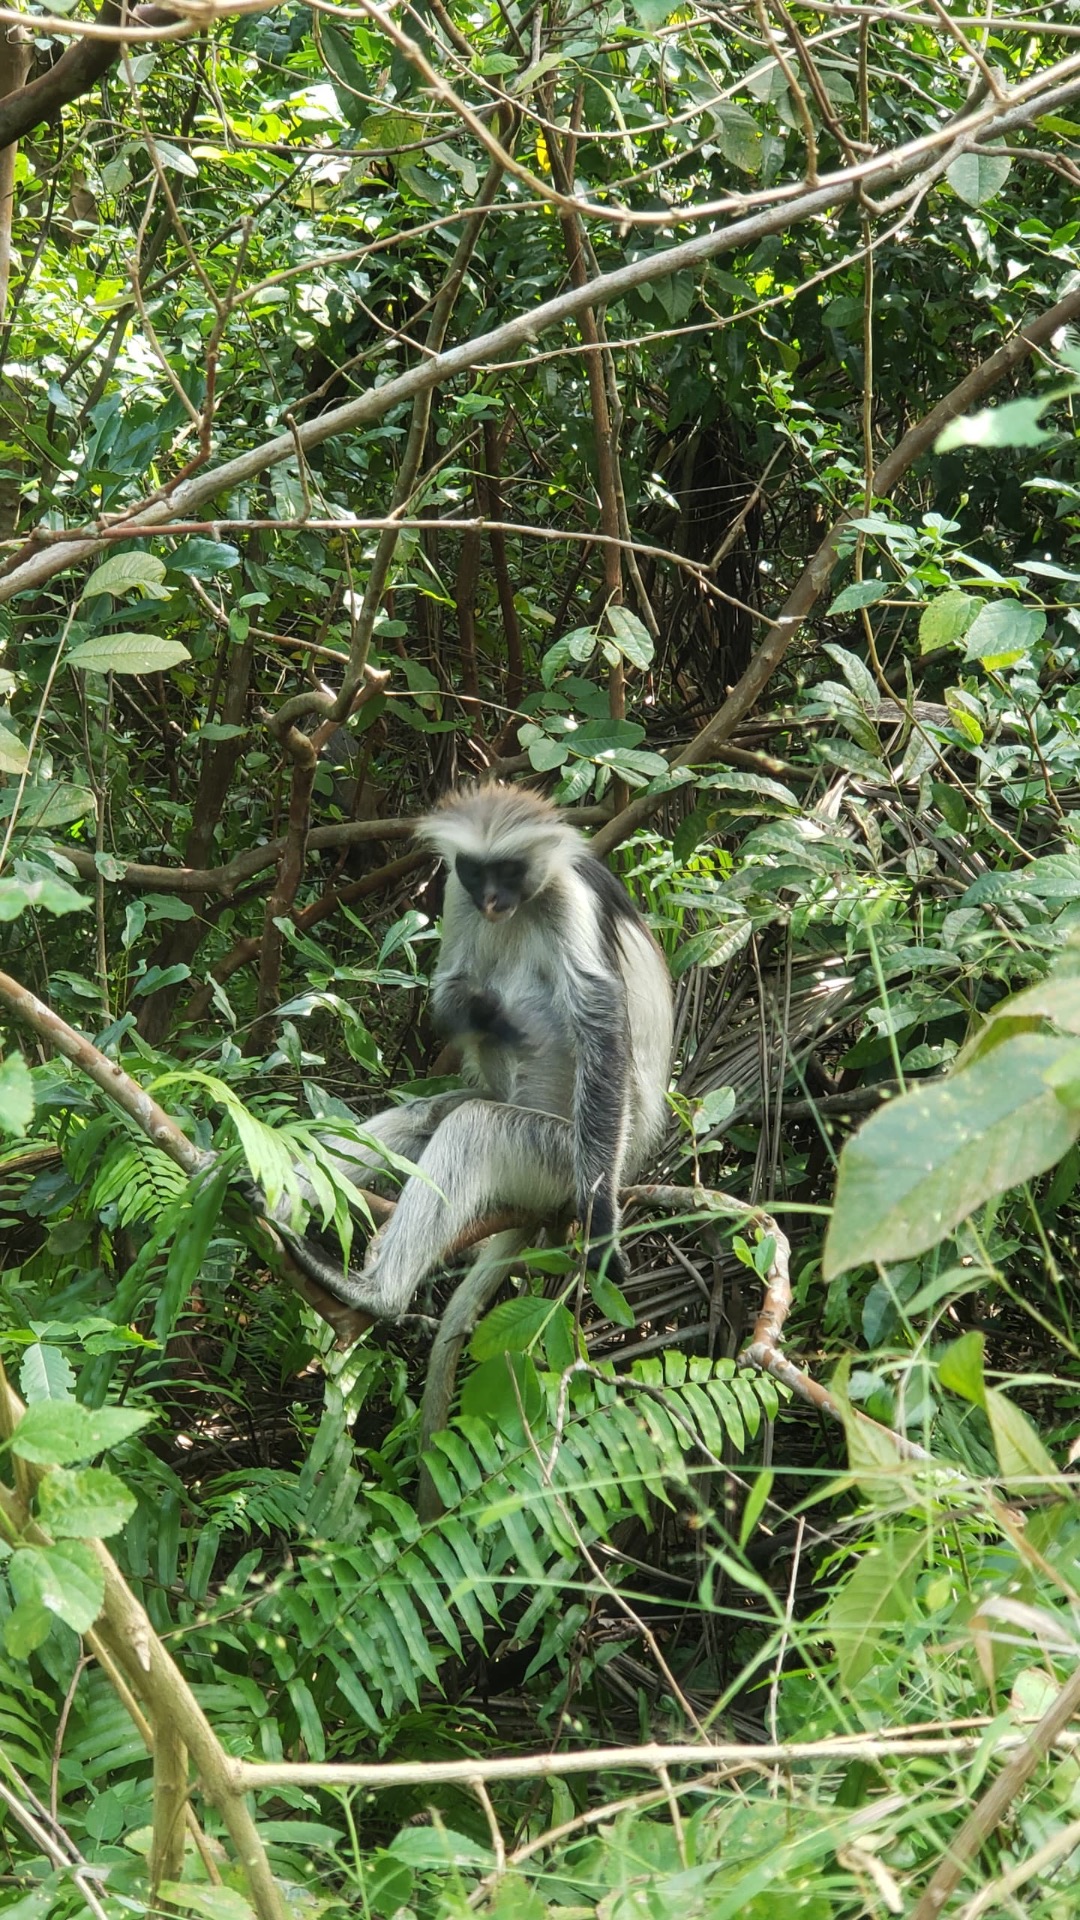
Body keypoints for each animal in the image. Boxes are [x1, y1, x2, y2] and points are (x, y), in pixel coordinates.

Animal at [281, 785, 673, 1321]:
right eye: (475, 871)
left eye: (507, 871)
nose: (490, 900)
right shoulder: (456, 893)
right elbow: (449, 991)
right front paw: (484, 1013)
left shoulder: (568, 898)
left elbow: (602, 1033)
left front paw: (601, 1226)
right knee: (427, 1115)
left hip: (560, 1155)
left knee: (473, 1125)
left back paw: (377, 1294)